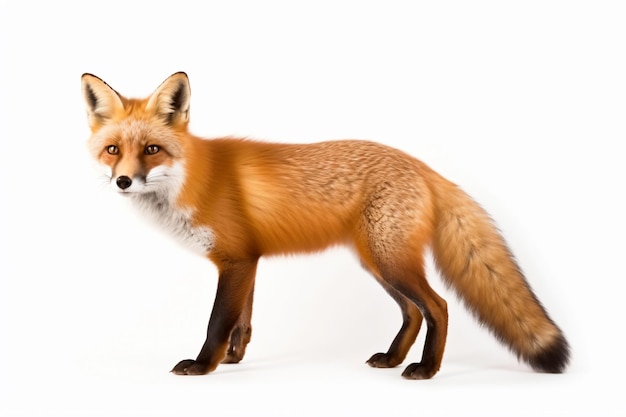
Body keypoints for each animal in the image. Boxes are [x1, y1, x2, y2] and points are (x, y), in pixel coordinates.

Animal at [81, 72, 564, 380]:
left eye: (152, 149)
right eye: (112, 150)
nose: (123, 181)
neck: (193, 178)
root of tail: (422, 166)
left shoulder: (235, 260)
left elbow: (218, 321)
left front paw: (203, 366)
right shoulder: (247, 261)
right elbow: (243, 321)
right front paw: (234, 359)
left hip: (391, 261)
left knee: (439, 307)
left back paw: (426, 370)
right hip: (378, 262)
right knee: (412, 312)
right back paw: (392, 359)